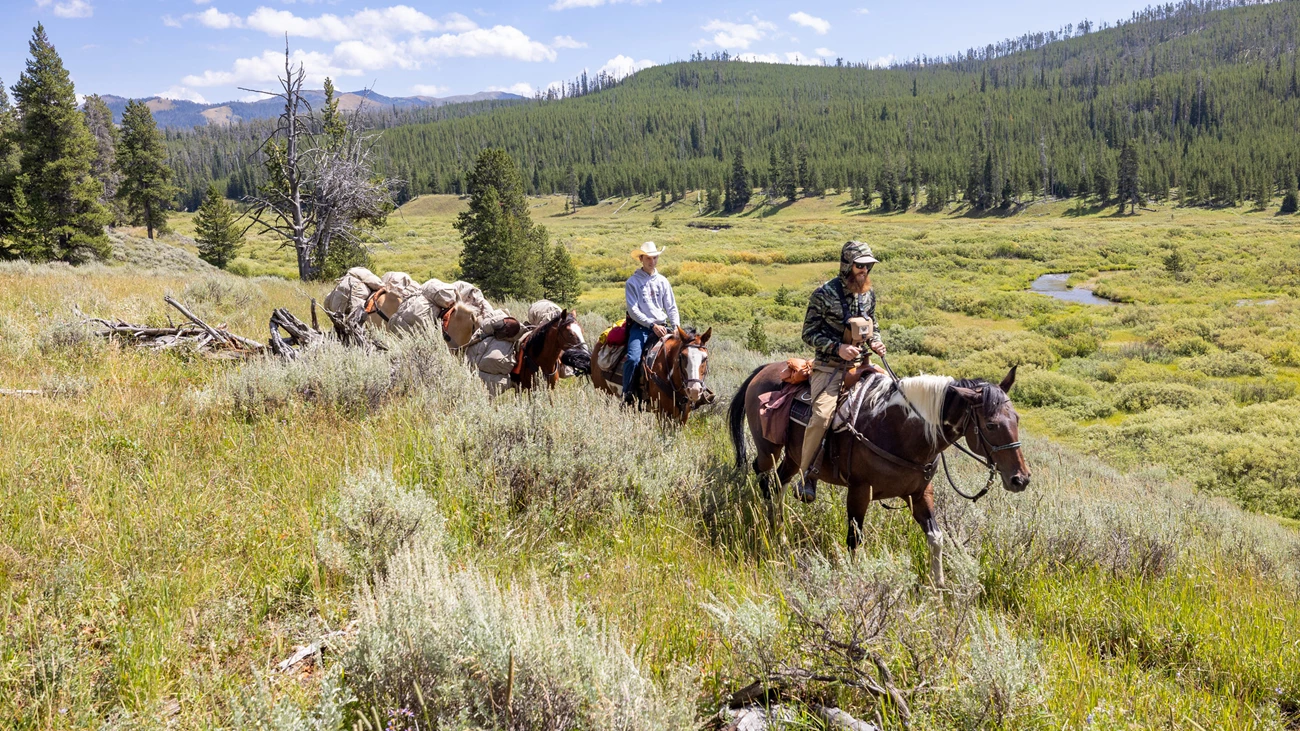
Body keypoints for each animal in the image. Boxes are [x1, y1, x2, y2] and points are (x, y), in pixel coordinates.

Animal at [728, 364, 1030, 586]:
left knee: (780, 483)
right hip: (769, 448)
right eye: (990, 425)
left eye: (1016, 419)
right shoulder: (860, 490)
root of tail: (765, 370)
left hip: (793, 456)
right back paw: (773, 529)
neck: (900, 430)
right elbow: (854, 538)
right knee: (765, 478)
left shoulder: (919, 493)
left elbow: (936, 538)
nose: (1021, 479)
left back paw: (779, 532)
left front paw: (939, 587)